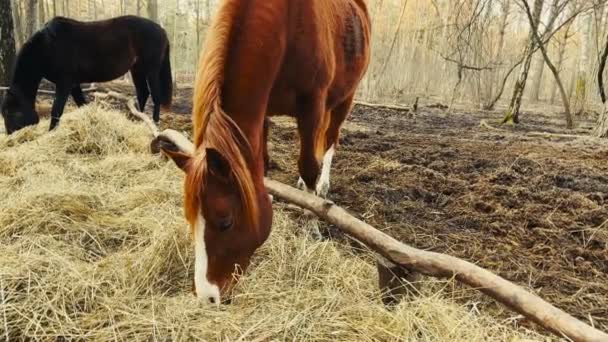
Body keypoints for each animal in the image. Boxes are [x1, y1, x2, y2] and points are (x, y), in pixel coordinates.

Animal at [1, 15, 172, 135]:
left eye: (11, 112)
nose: (10, 136)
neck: (47, 47)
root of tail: (162, 30)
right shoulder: (73, 84)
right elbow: (81, 104)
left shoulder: (64, 83)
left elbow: (56, 110)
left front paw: (51, 133)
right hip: (137, 69)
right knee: (143, 93)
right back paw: (137, 120)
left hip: (151, 69)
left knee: (156, 96)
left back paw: (154, 123)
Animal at [159, 0, 370, 304]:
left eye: (225, 222)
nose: (207, 297)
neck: (288, 23)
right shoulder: (264, 106)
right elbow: (263, 164)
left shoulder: (313, 106)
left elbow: (309, 165)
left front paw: (311, 224)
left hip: (344, 99)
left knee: (330, 142)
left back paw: (322, 187)